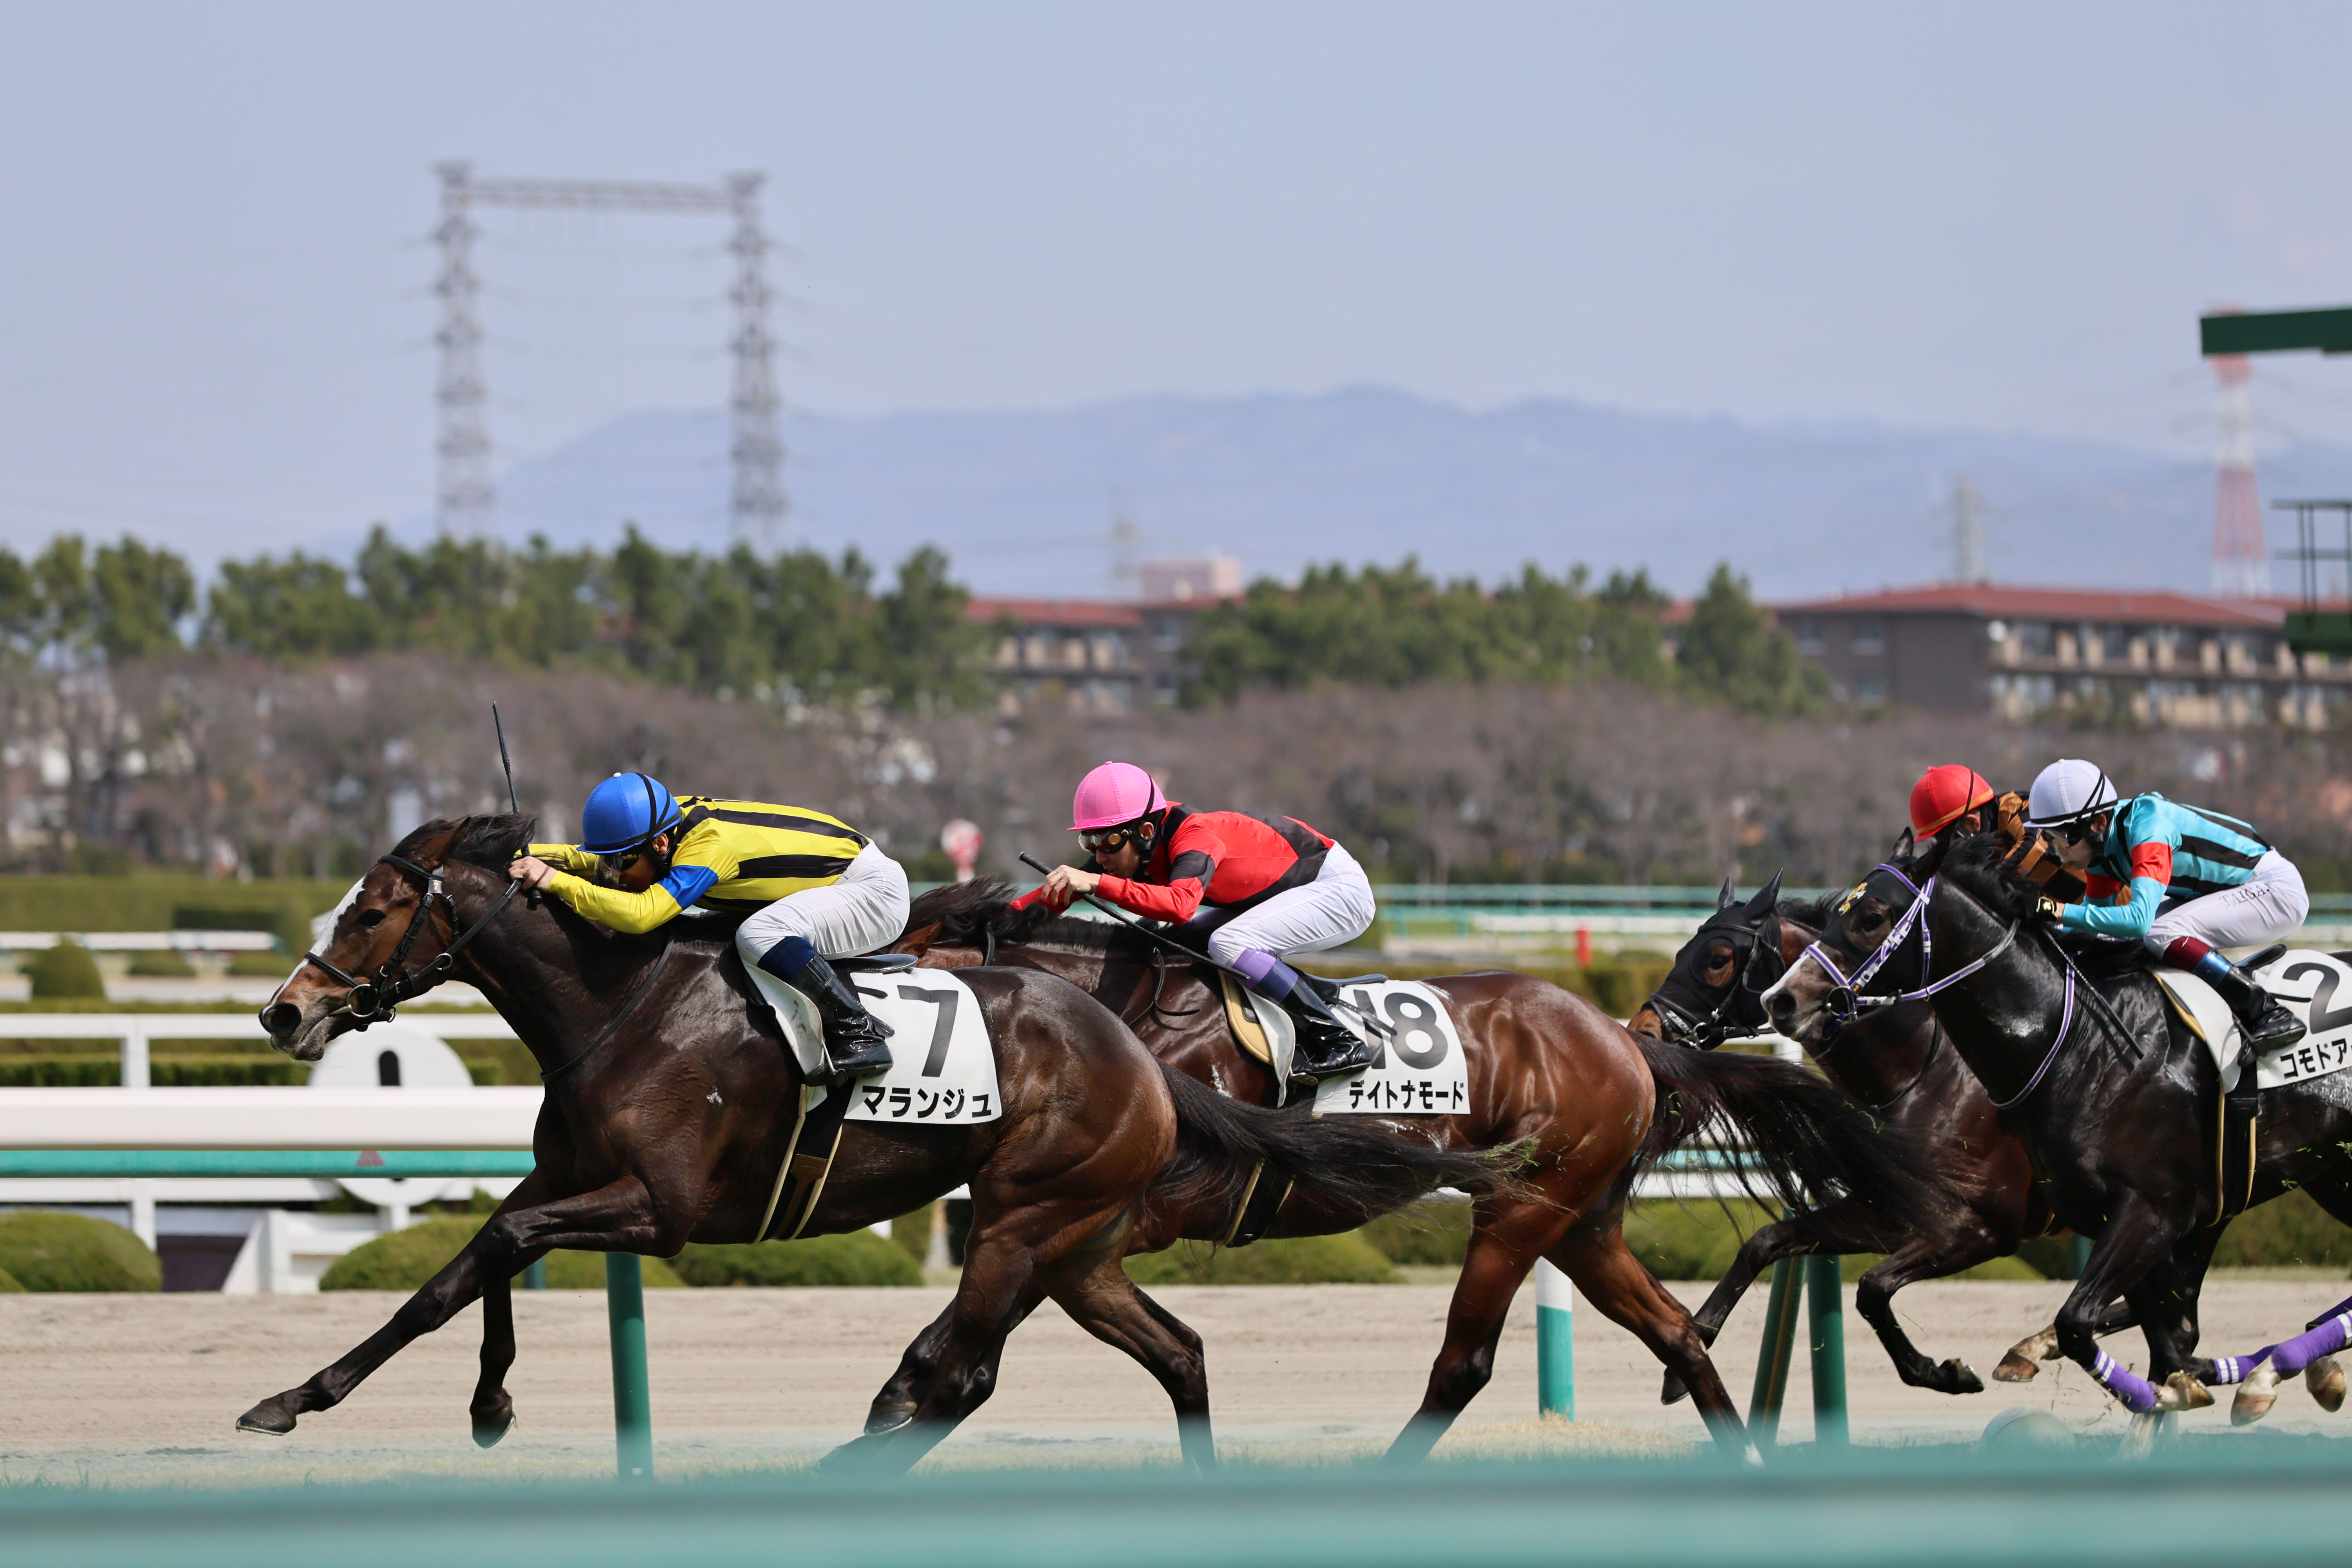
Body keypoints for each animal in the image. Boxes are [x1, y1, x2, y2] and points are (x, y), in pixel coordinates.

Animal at [243, 816, 1504, 1474]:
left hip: (1023, 1217)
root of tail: (1146, 1064)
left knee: (962, 1368)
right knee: (1159, 1353)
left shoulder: (663, 1209)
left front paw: (471, 1401)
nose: (283, 1014)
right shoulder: (569, 1176)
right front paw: (324, 1399)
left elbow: (502, 1245)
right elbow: (464, 1270)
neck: (619, 1002)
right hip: (1072, 1235)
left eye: (367, 912)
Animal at [887, 879, 1957, 1459]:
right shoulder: (1089, 1219)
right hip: (1584, 1221)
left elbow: (983, 1324)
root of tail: (1623, 1037)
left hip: (1525, 1205)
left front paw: (909, 1391)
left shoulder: (1136, 1205)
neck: (1121, 1015)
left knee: (1464, 1361)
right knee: (1675, 1334)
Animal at [1761, 831, 2352, 1432]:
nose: (1781, 999)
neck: (2079, 1046)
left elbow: (2081, 1324)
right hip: (2330, 1179)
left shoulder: (2141, 1215)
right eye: (1840, 912)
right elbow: (2166, 1344)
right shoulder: (2123, 1220)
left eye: (1872, 917)